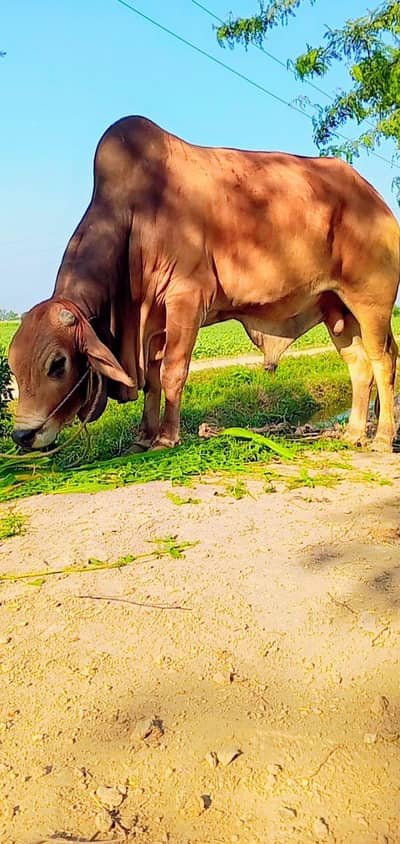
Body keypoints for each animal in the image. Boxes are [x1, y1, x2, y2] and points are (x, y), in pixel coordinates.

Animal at [8, 116, 399, 453]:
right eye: (12, 364)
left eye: (57, 364)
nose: (22, 435)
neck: (134, 218)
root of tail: (378, 202)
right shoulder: (154, 321)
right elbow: (152, 381)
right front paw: (143, 438)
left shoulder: (186, 299)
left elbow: (173, 372)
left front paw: (167, 438)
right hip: (337, 309)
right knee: (359, 365)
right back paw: (353, 433)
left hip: (372, 303)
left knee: (382, 360)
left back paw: (381, 438)